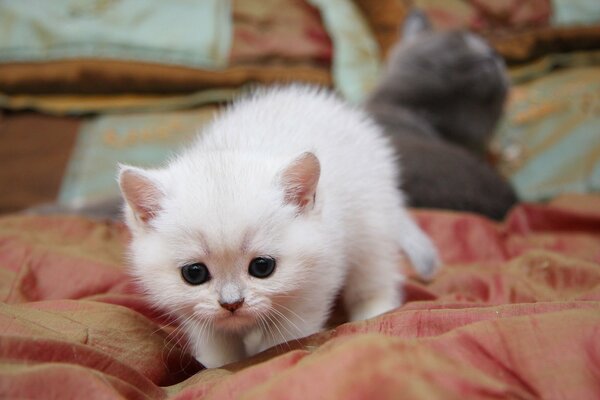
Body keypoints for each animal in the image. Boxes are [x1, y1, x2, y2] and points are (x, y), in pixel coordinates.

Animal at [119, 86, 438, 368]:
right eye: (194, 274)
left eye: (262, 267)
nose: (231, 303)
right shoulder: (198, 316)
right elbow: (217, 348)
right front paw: (220, 363)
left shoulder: (314, 285)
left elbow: (281, 343)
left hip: (372, 223)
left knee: (374, 275)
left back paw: (375, 313)